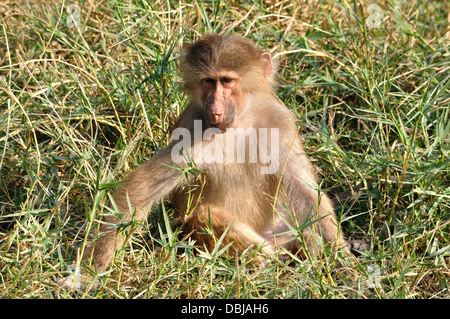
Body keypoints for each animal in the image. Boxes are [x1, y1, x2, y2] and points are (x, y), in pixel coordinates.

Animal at [59, 33, 354, 292]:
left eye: (227, 80)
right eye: (208, 82)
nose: (215, 107)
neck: (240, 122)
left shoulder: (280, 122)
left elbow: (308, 196)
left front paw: (347, 267)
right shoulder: (192, 130)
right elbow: (141, 187)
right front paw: (89, 273)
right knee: (204, 215)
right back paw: (268, 262)